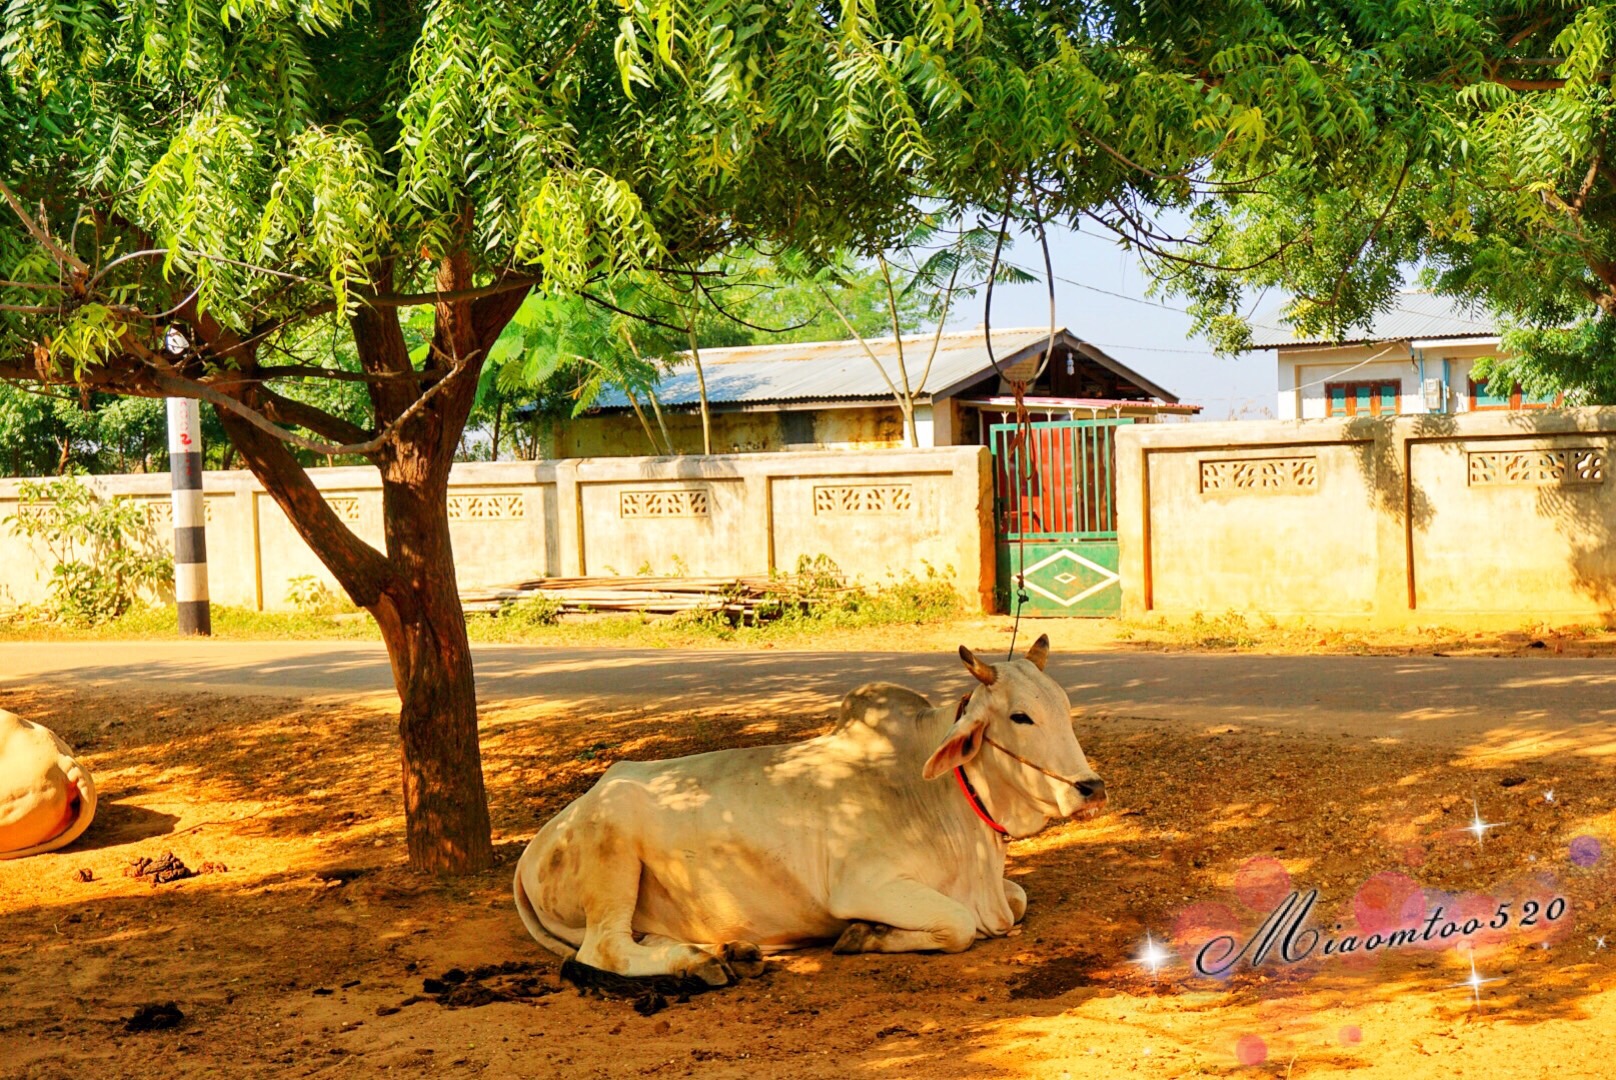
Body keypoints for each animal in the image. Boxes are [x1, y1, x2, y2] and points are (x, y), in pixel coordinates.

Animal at [510, 633, 1105, 989]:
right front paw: (864, 935)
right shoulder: (867, 884)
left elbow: (1019, 899)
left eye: (1064, 707)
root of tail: (538, 843)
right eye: (1021, 717)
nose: (1091, 787)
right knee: (604, 949)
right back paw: (699, 963)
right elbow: (958, 925)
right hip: (611, 853)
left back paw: (726, 950)